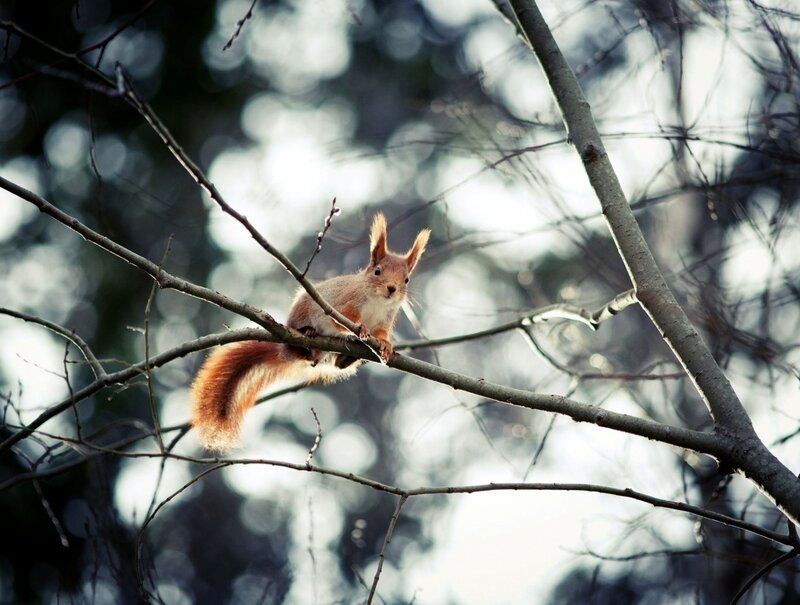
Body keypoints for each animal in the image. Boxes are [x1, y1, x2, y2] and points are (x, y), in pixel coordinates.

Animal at [190, 213, 430, 451]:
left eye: (406, 279)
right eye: (377, 271)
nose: (392, 289)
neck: (378, 301)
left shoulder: (384, 321)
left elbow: (380, 334)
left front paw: (386, 346)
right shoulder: (342, 304)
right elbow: (343, 320)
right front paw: (360, 328)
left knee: (335, 364)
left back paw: (346, 358)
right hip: (301, 316)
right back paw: (308, 333)